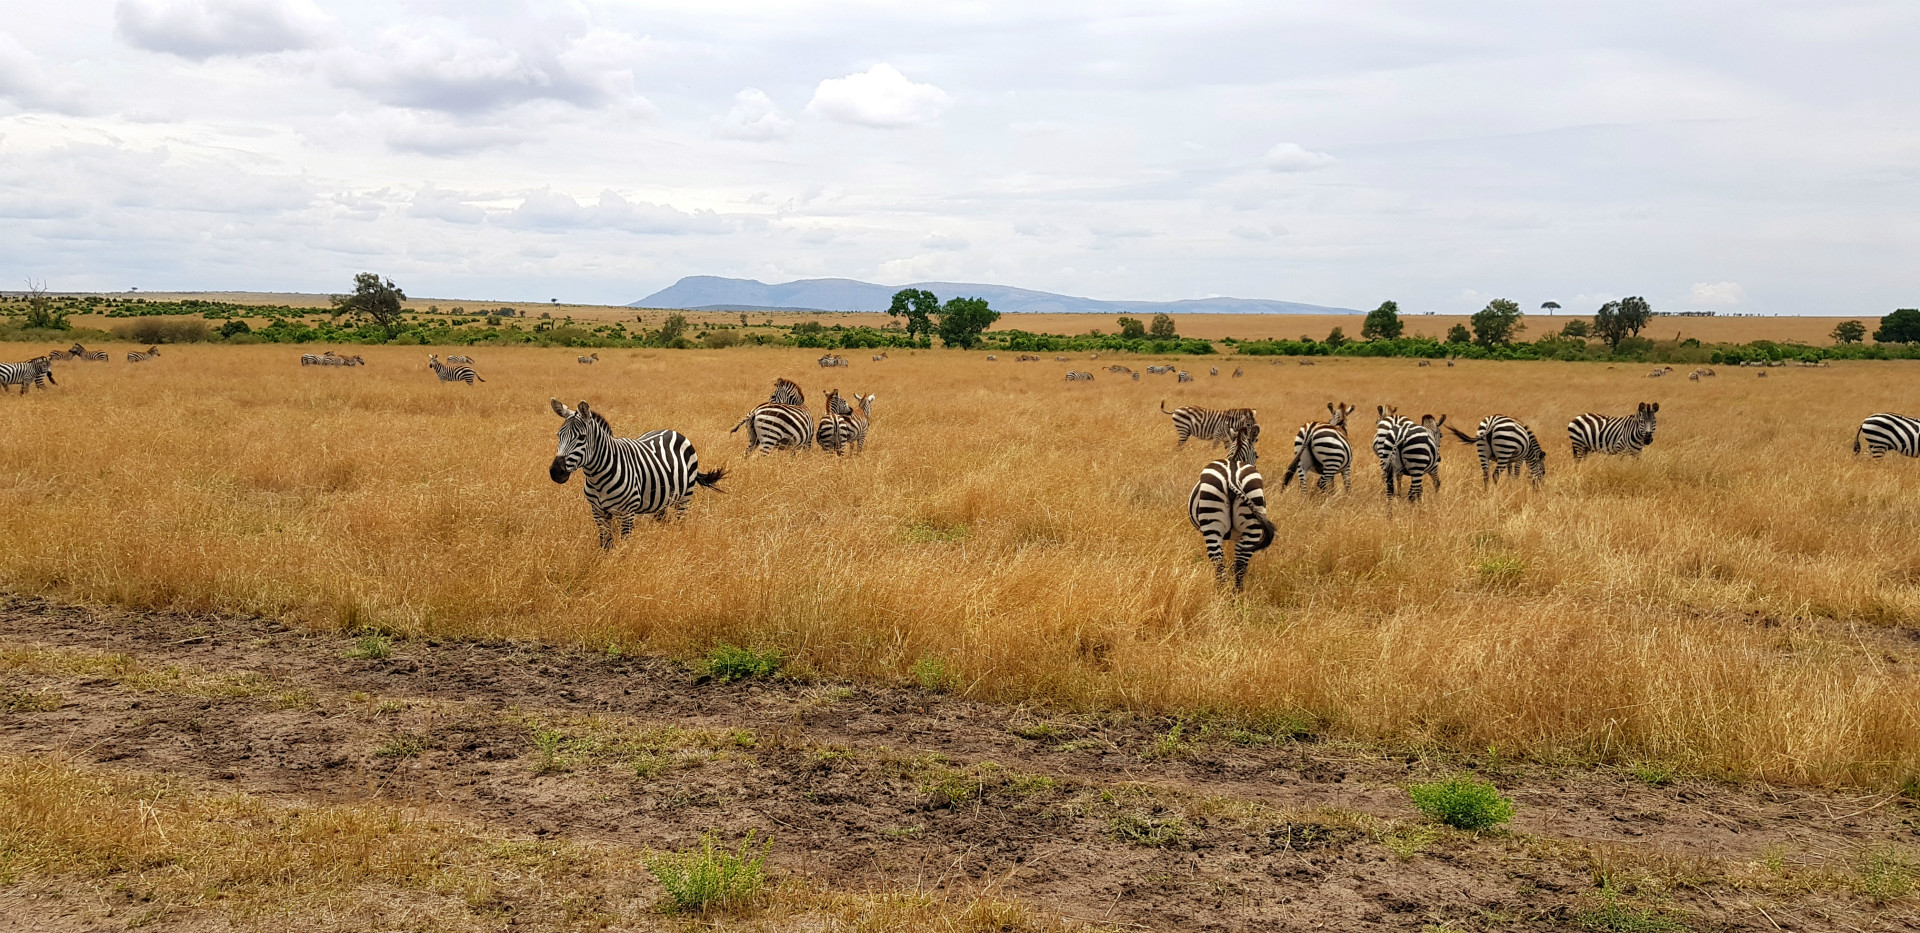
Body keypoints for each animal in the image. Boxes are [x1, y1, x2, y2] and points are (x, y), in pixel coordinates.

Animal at [549, 399, 725, 545]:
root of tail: (673, 431)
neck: (597, 477)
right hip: (661, 499)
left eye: (582, 437)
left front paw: (621, 562)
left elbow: (624, 545)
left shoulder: (627, 513)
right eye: (558, 435)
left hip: (684, 498)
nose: (555, 472)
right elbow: (605, 544)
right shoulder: (598, 512)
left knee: (680, 522)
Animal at [1182, 424, 1274, 591]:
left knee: (1221, 563)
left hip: (1214, 523)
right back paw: (1233, 595)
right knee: (1238, 565)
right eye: (1257, 455)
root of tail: (1232, 478)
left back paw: (1222, 593)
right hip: (1249, 527)